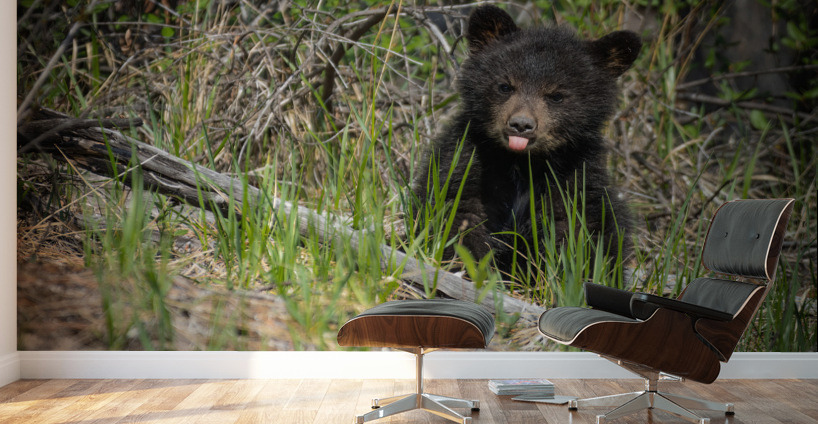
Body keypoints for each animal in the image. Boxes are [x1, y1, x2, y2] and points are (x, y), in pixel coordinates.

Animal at [411, 5, 640, 278]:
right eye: (505, 86)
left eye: (556, 95)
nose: (521, 125)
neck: (523, 163)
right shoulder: (469, 161)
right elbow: (457, 210)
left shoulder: (574, 178)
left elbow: (581, 231)